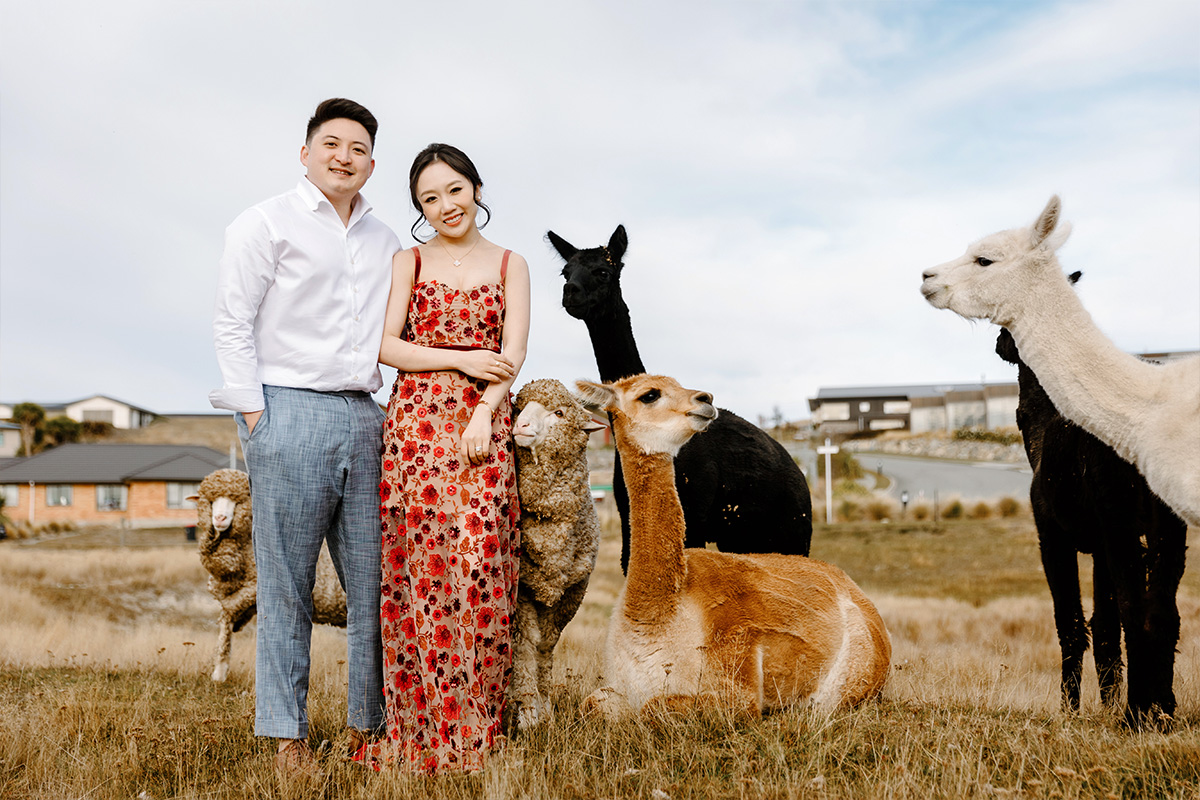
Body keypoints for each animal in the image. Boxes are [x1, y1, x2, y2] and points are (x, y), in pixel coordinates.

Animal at [189, 470, 345, 681]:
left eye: (239, 501)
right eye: (211, 501)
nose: (220, 518)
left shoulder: (254, 588)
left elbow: (229, 612)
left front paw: (220, 669)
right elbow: (226, 623)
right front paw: (219, 673)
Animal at [506, 379, 604, 729]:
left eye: (559, 413)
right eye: (520, 408)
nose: (519, 425)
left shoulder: (570, 593)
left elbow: (546, 647)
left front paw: (544, 707)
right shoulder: (522, 591)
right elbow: (525, 646)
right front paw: (527, 714)